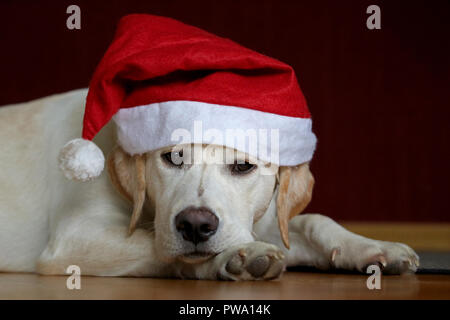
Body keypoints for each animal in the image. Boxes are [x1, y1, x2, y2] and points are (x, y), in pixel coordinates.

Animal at [0, 89, 418, 278]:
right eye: (174, 158)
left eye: (243, 166)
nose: (196, 226)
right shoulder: (75, 239)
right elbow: (164, 248)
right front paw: (233, 258)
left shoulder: (262, 219)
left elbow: (313, 221)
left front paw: (371, 247)